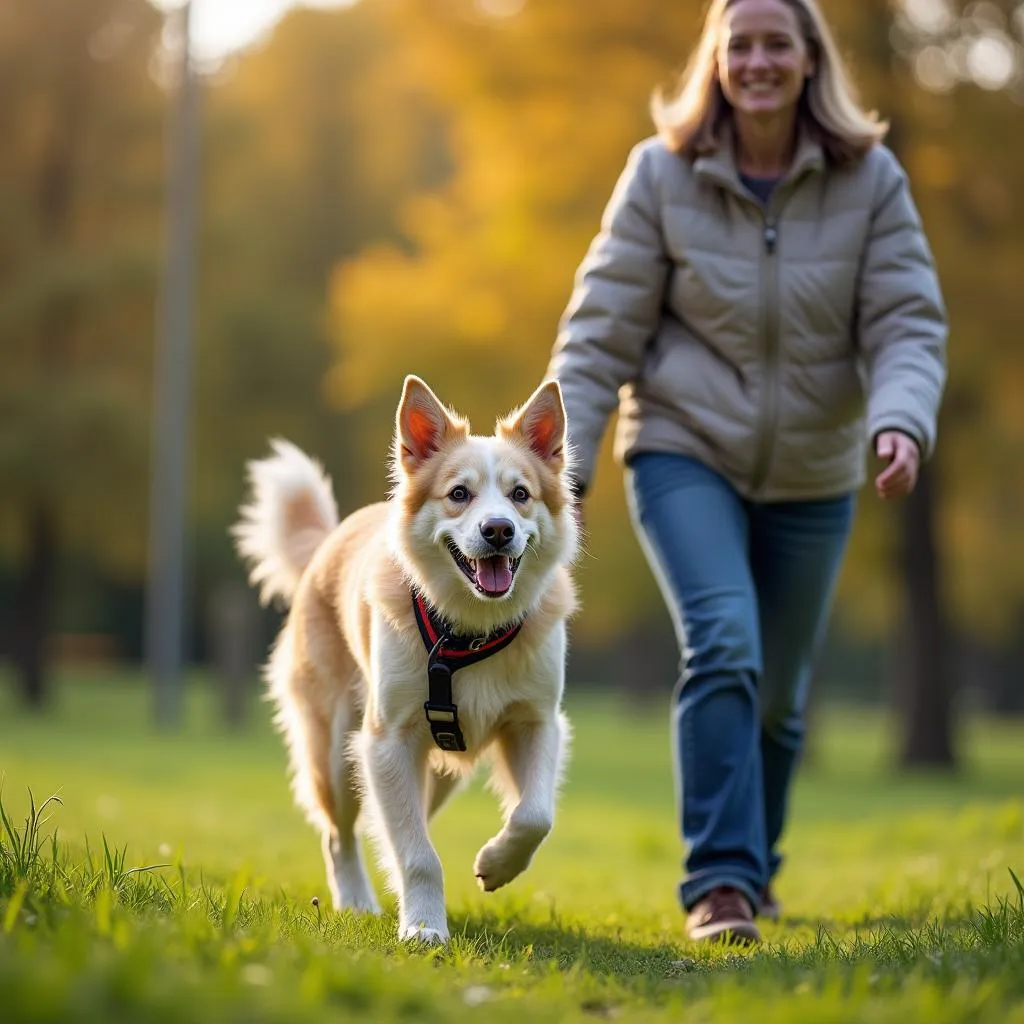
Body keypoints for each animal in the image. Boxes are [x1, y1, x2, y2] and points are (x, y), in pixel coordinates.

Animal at [234, 374, 581, 942]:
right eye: (459, 494)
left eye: (520, 495)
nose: (499, 530)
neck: (469, 631)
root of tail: (329, 543)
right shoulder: (387, 743)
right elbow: (418, 855)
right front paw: (423, 928)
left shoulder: (537, 723)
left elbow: (535, 817)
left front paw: (496, 864)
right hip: (338, 753)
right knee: (340, 834)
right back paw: (355, 900)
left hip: (439, 773)